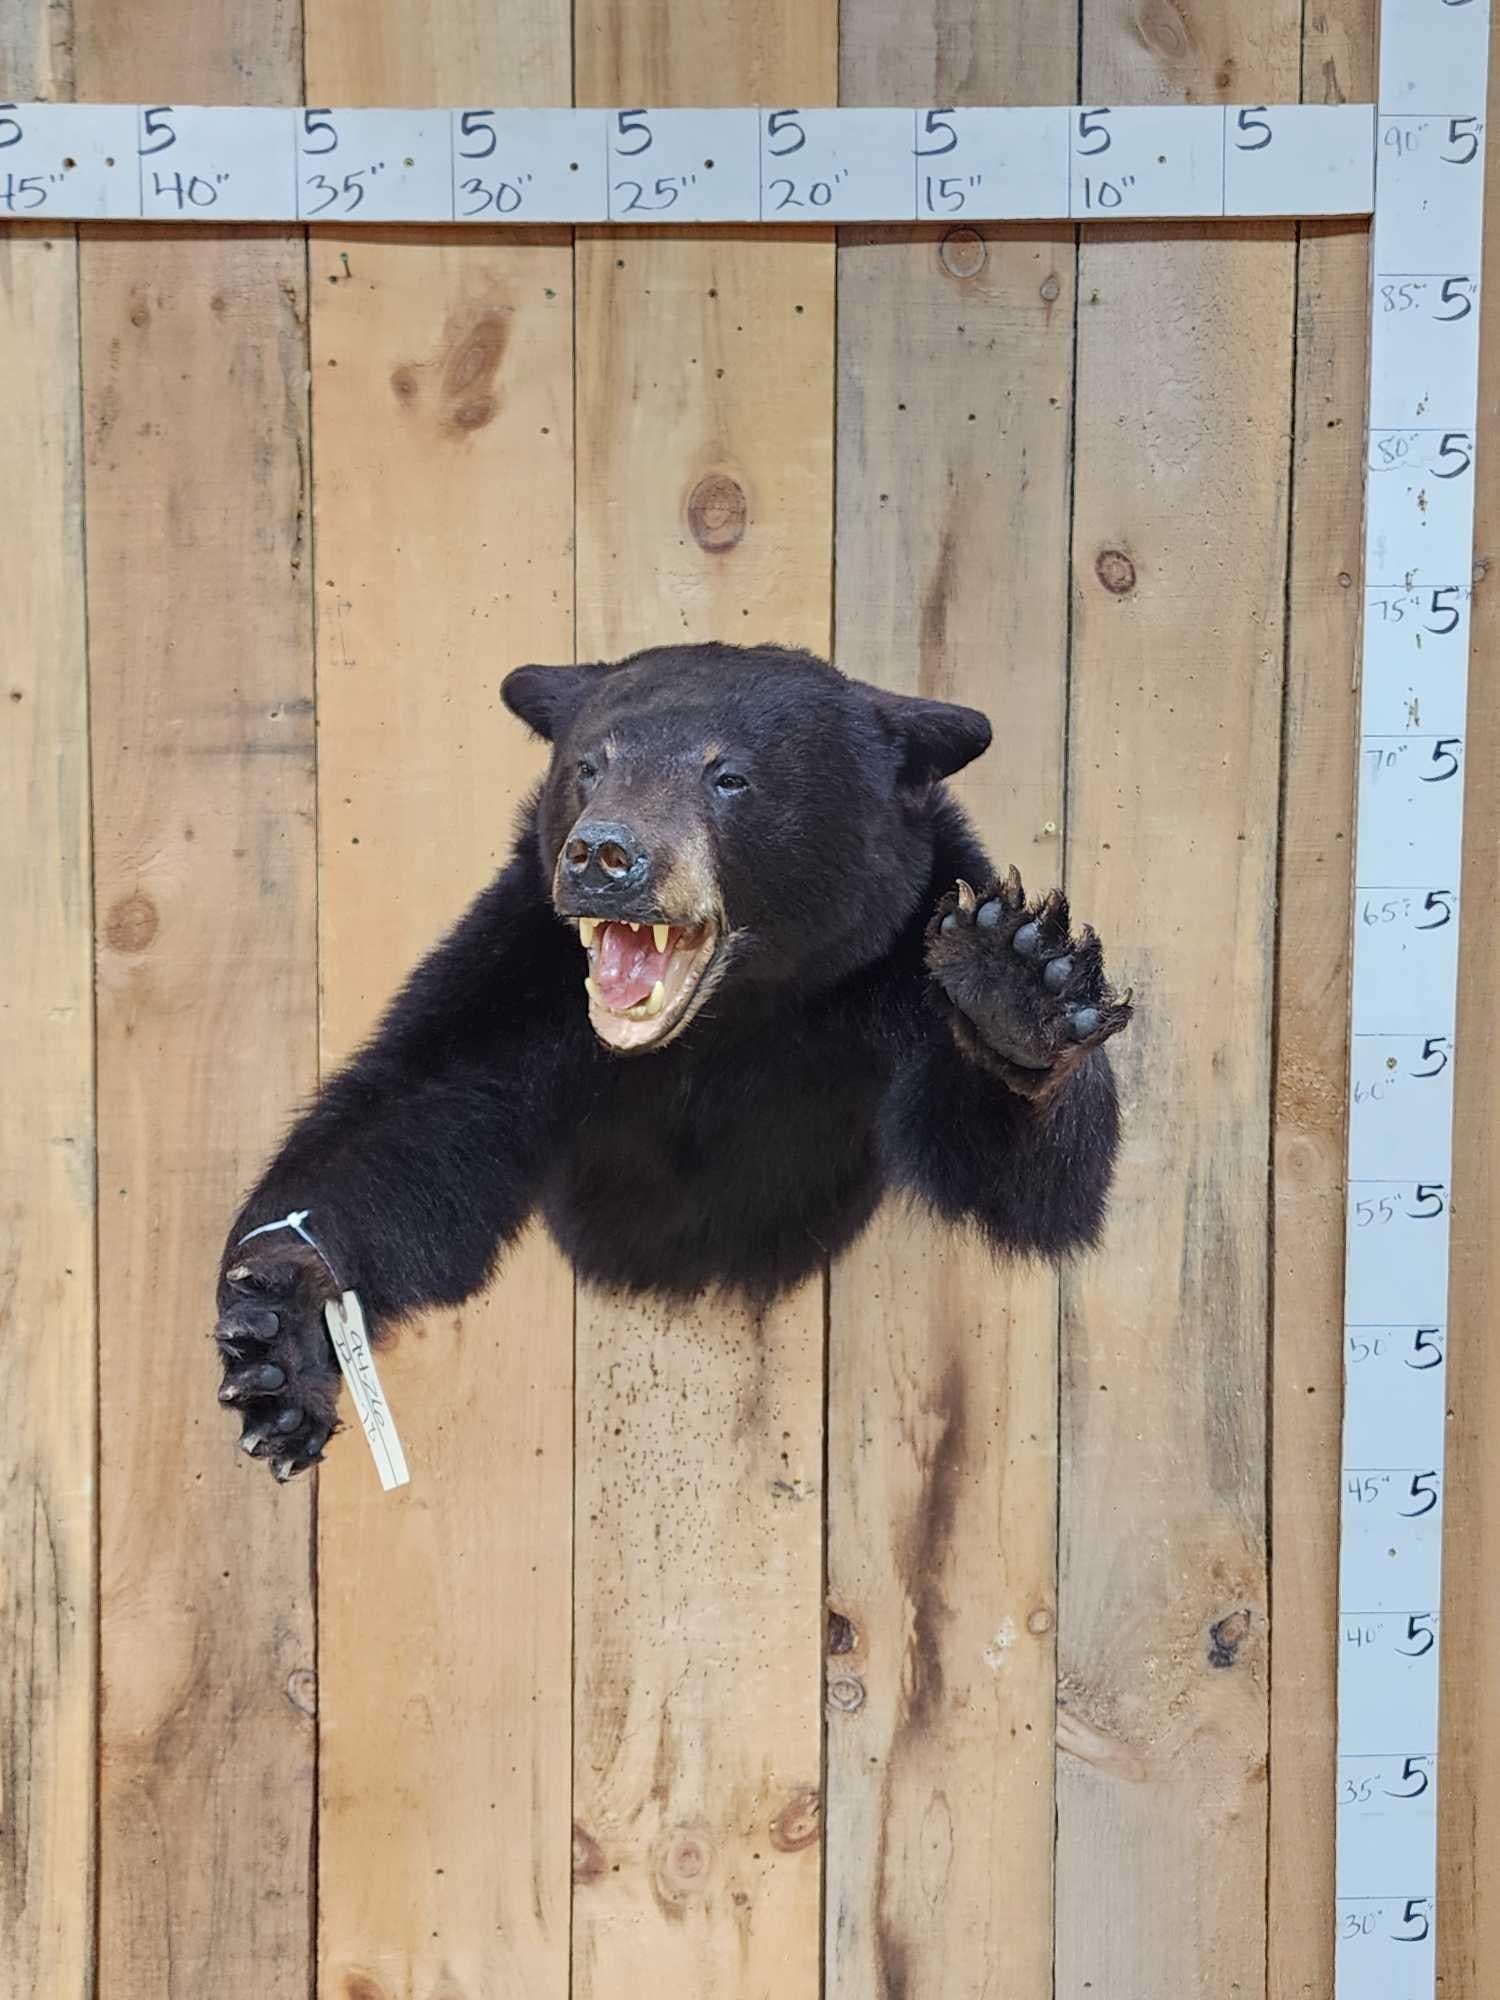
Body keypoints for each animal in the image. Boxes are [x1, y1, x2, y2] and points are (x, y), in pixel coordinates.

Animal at [214, 642, 1133, 1479]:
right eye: (590, 766)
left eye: (729, 777)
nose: (603, 855)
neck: (728, 1021)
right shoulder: (522, 974)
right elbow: (409, 1120)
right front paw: (281, 1337)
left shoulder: (905, 948)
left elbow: (1030, 1183)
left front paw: (1014, 991)